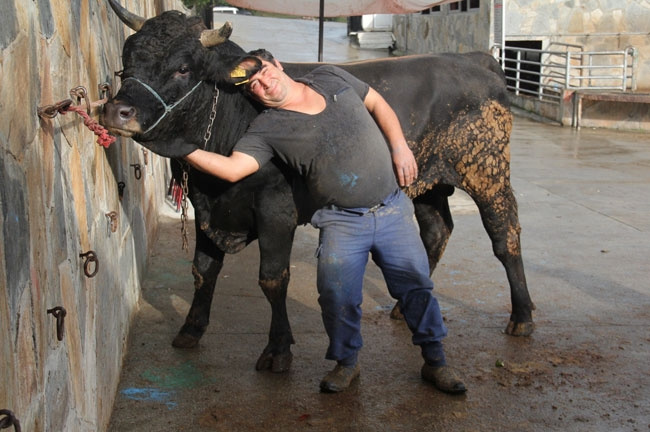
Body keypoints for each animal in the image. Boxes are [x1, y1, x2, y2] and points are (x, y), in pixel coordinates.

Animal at [102, 5, 532, 372]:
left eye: (182, 68)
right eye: (126, 64)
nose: (117, 112)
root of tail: (474, 59)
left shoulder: (275, 210)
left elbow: (272, 278)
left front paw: (278, 350)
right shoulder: (206, 206)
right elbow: (203, 270)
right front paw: (190, 329)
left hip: (488, 173)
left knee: (505, 236)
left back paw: (522, 316)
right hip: (427, 180)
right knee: (437, 231)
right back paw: (404, 306)